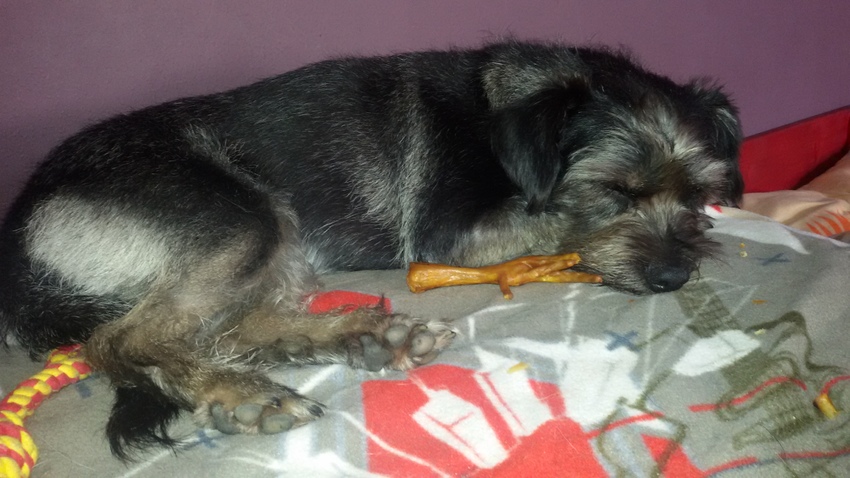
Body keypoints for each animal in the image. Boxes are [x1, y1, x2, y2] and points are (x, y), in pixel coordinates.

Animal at [0, 40, 743, 459]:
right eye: (615, 191)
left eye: (700, 193)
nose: (675, 277)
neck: (502, 116)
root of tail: (18, 257)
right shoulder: (453, 233)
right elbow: (558, 225)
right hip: (241, 217)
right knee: (126, 339)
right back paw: (240, 392)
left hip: (281, 242)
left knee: (232, 326)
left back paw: (361, 334)